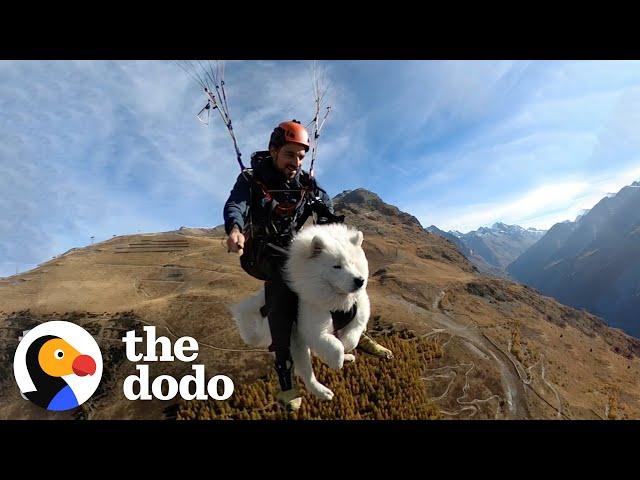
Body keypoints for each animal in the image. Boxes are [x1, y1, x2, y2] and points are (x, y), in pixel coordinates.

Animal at [230, 224, 370, 402]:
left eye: (353, 263)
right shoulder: (313, 329)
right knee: (305, 372)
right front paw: (336, 362)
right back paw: (322, 392)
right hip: (295, 342)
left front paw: (346, 347)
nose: (359, 281)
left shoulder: (361, 310)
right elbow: (336, 346)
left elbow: (352, 336)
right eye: (336, 266)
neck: (336, 302)